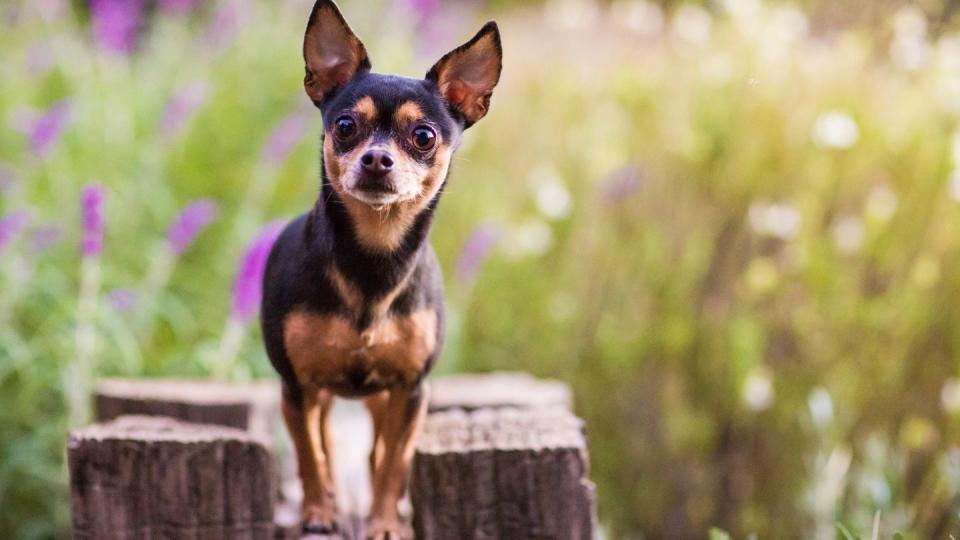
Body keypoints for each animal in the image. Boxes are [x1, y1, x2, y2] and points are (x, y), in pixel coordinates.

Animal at [260, 2, 502, 536]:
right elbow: (309, 454)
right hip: (320, 392)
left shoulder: (410, 390)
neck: (375, 260)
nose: (376, 158)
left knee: (376, 450)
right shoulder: (297, 385)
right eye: (346, 126)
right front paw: (318, 512)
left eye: (423, 136)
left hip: (381, 395)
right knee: (325, 441)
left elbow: (394, 461)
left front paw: (385, 521)